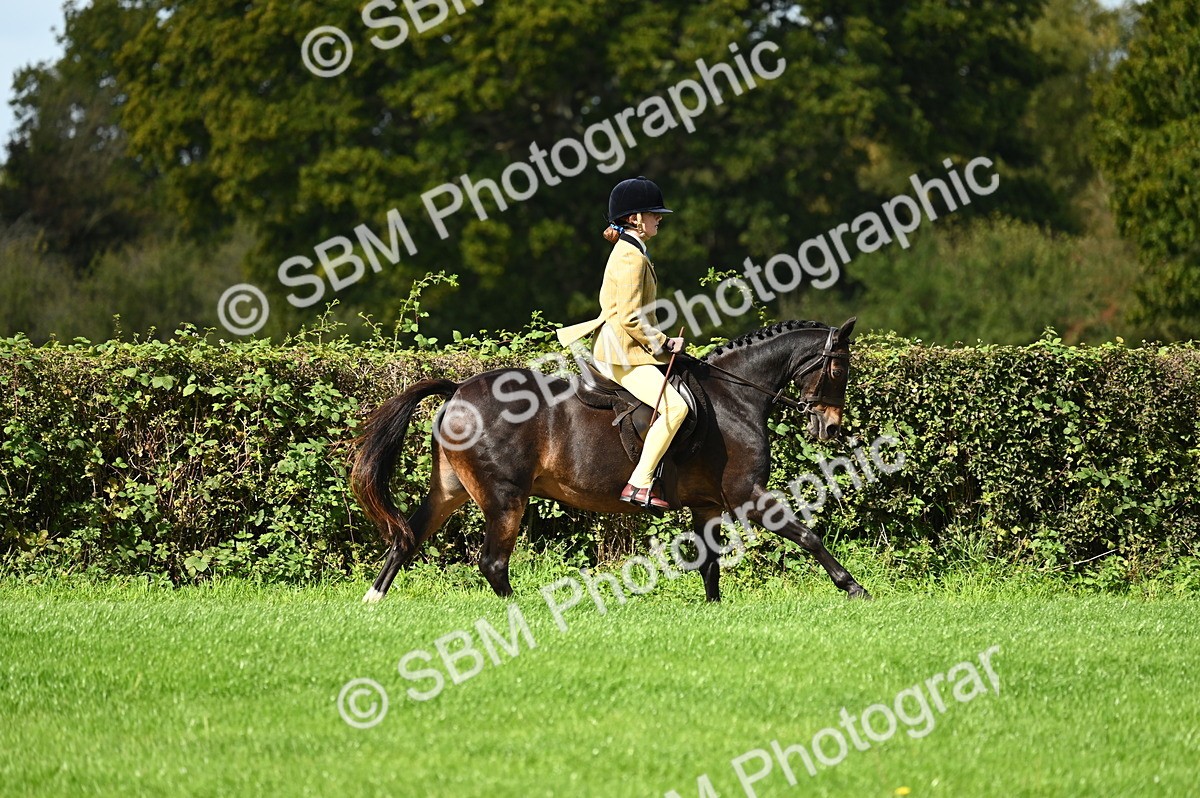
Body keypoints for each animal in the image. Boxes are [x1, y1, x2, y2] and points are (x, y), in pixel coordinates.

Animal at [350, 318, 871, 603]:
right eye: (839, 367)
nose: (830, 428)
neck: (735, 396)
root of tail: (458, 389)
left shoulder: (707, 505)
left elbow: (709, 564)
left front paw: (714, 611)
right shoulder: (748, 496)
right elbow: (806, 534)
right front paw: (854, 588)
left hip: (451, 489)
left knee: (408, 537)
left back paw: (373, 600)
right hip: (505, 497)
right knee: (493, 562)